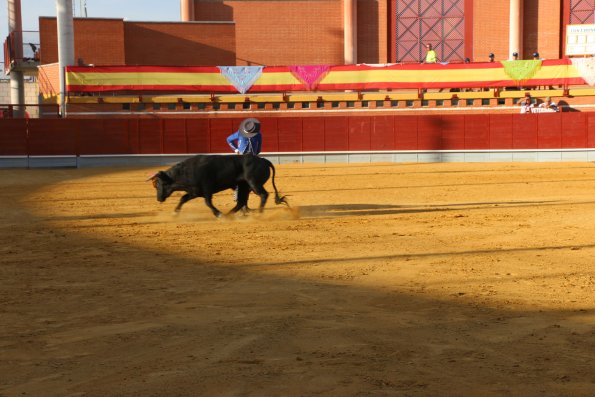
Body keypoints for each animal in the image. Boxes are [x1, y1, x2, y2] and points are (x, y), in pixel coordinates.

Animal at [148, 154, 288, 217]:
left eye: (160, 184)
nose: (158, 198)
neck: (185, 171)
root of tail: (263, 160)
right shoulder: (195, 191)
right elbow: (183, 198)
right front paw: (175, 213)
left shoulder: (206, 189)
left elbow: (208, 203)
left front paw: (218, 214)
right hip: (244, 185)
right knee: (241, 201)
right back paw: (230, 214)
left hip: (254, 183)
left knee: (263, 195)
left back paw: (259, 213)